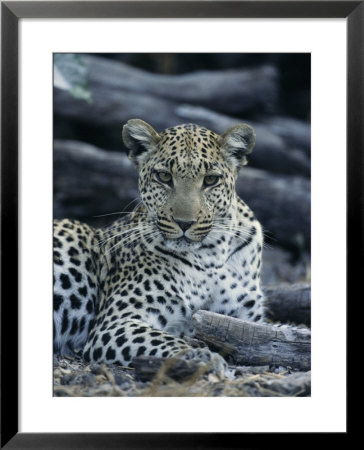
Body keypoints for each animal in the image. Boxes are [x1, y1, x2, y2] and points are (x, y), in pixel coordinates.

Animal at [53, 118, 264, 376]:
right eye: (163, 177)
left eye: (210, 180)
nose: (184, 223)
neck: (210, 254)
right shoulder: (116, 322)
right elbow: (165, 340)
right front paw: (202, 357)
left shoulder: (246, 321)